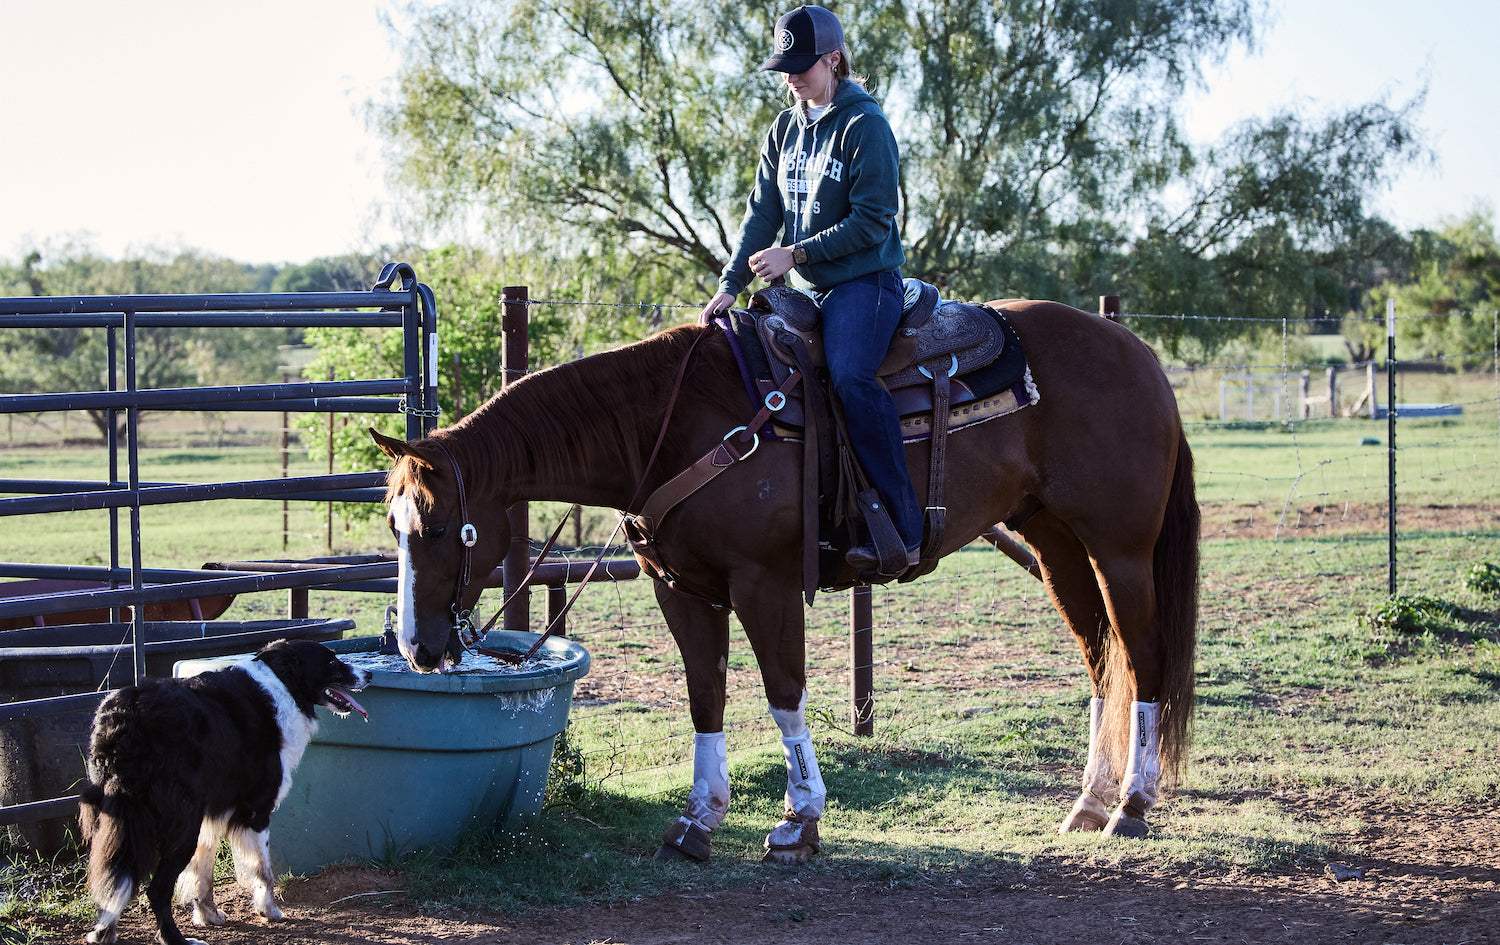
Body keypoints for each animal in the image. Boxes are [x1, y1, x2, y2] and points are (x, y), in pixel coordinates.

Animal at [78, 642, 369, 945]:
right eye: (332, 662)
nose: (369, 675)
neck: (284, 683)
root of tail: (127, 713)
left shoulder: (211, 813)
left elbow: (203, 873)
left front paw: (208, 915)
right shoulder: (256, 811)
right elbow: (263, 869)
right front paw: (269, 910)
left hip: (127, 819)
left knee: (115, 877)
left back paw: (103, 933)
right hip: (180, 826)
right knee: (155, 889)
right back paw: (175, 939)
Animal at [372, 300, 1194, 864]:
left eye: (439, 528)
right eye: (393, 525)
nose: (416, 648)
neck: (674, 425)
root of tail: (1137, 352)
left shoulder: (762, 583)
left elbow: (783, 692)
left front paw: (800, 821)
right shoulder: (682, 587)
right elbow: (706, 694)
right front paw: (699, 820)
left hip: (1120, 548)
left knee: (1146, 656)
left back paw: (1132, 804)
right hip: (1055, 543)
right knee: (1104, 659)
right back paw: (1089, 802)